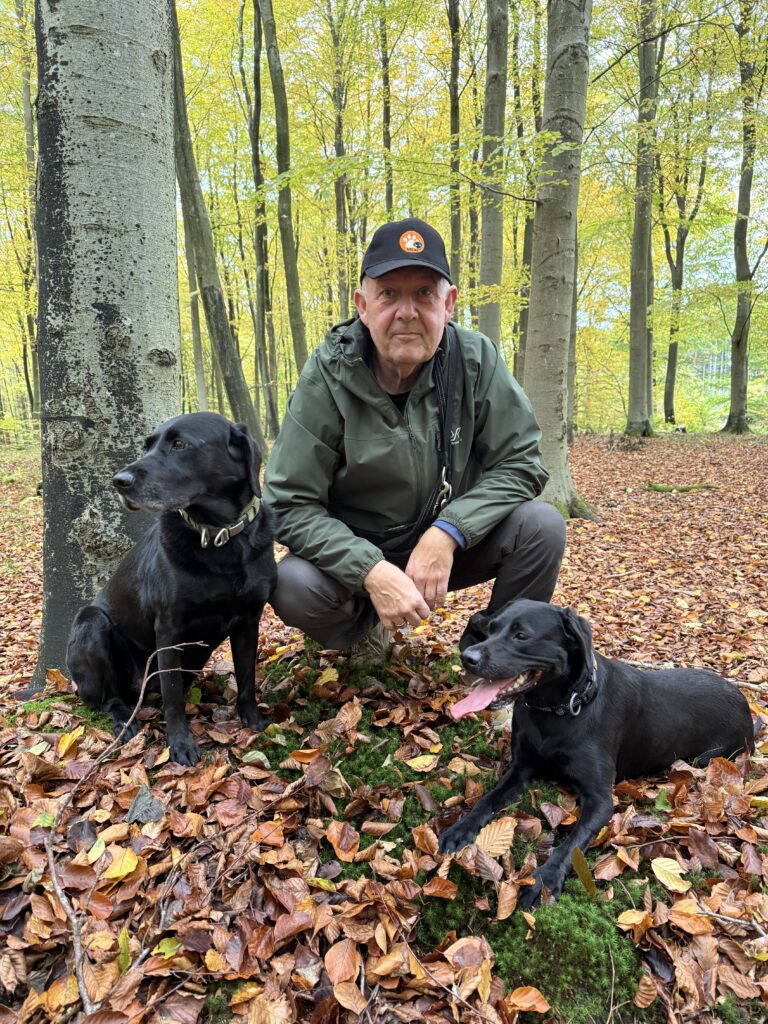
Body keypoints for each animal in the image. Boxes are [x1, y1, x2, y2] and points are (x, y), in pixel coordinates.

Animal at [66, 413, 277, 766]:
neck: (218, 538)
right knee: (107, 698)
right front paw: (180, 744)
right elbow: (172, 693)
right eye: (148, 445)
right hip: (91, 623)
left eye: (180, 444)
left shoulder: (249, 620)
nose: (119, 480)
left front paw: (253, 720)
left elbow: (247, 678)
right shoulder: (168, 628)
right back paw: (125, 719)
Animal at [438, 599, 754, 906]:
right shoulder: (520, 768)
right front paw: (459, 829)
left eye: (521, 635)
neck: (558, 711)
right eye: (490, 629)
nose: (468, 657)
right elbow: (487, 801)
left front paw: (543, 881)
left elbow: (572, 844)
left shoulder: (600, 799)